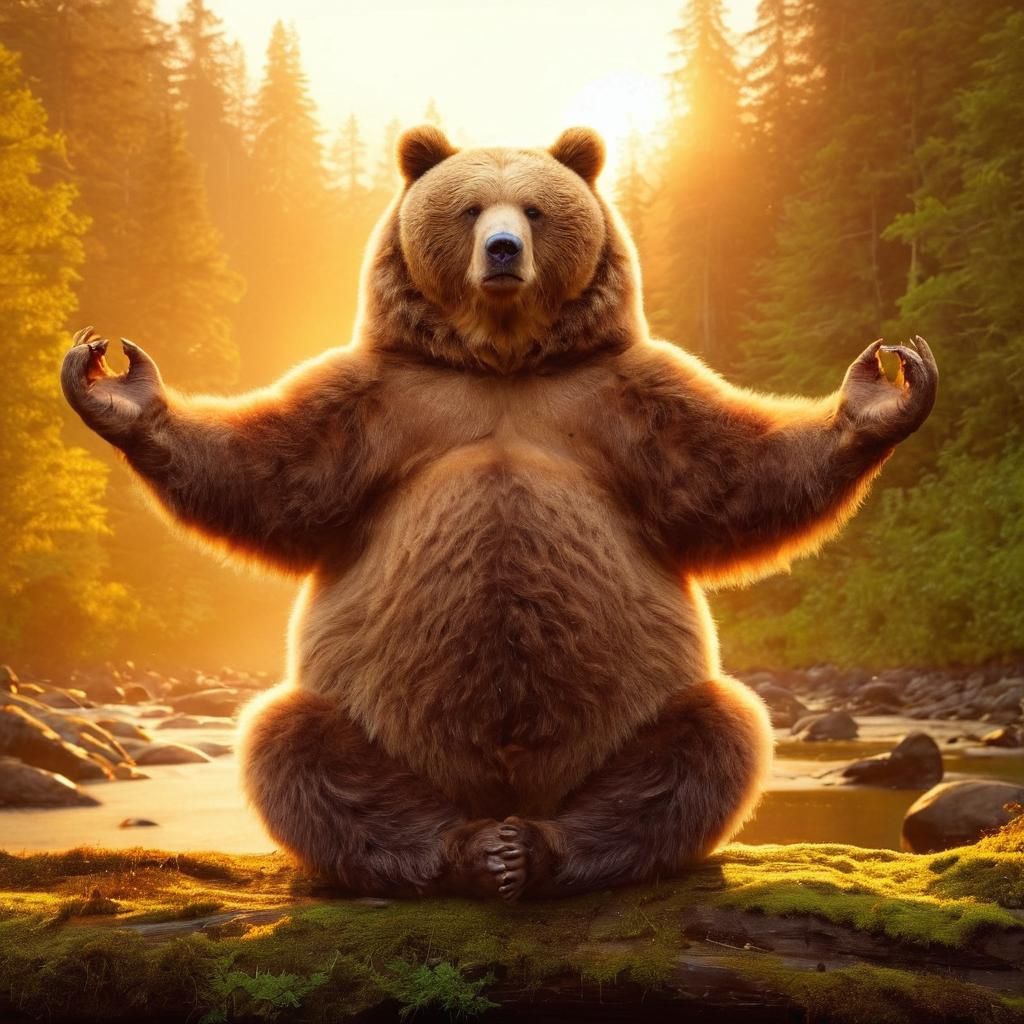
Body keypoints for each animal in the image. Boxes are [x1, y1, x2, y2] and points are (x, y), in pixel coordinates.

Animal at [61, 125, 937, 900]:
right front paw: (120, 390)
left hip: (634, 718)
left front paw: (880, 394)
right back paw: (470, 854)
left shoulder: (620, 397)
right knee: (297, 751)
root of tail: (505, 796)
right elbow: (275, 472)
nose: (504, 251)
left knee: (709, 742)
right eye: (471, 208)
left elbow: (729, 472)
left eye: (537, 209)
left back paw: (542, 852)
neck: (503, 361)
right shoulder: (385, 399)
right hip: (373, 724)